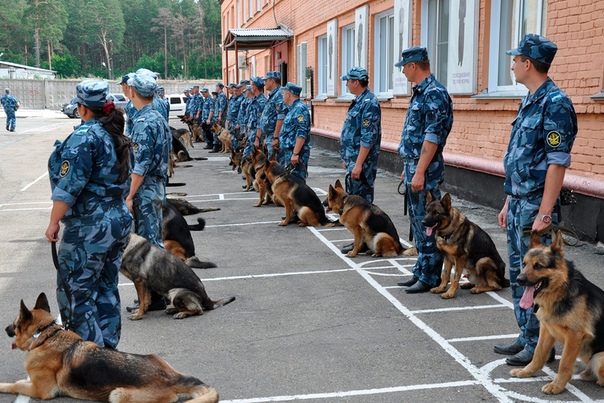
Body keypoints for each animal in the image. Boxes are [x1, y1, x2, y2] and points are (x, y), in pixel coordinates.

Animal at [510, 232, 604, 396]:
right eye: (524, 263)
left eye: (538, 266)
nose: (518, 280)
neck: (561, 290)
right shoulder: (546, 330)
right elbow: (538, 354)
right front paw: (526, 371)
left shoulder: (574, 336)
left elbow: (564, 363)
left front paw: (557, 385)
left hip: (599, 358)